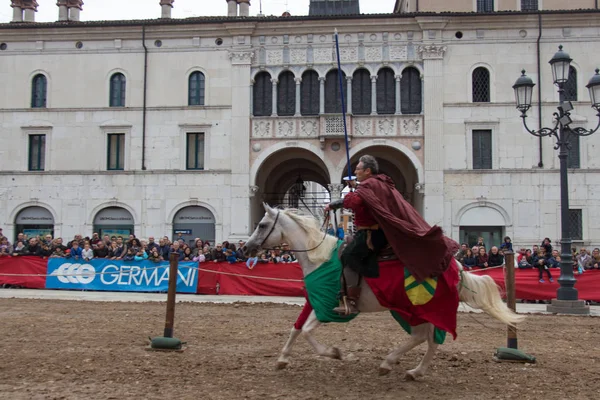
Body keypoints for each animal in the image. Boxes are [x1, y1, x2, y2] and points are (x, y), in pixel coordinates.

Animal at [244, 205, 524, 380]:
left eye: (263, 224)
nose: (246, 248)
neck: (318, 258)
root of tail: (454, 265)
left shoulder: (326, 306)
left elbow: (307, 331)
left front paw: (334, 353)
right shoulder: (313, 300)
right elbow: (296, 328)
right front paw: (282, 359)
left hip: (415, 308)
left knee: (421, 337)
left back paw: (389, 363)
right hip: (420, 311)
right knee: (431, 340)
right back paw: (415, 372)